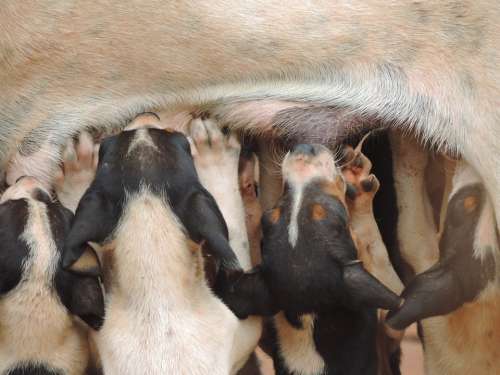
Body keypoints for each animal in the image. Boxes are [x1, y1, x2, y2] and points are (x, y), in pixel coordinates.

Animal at [223, 143, 402, 374]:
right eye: (339, 217)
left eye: (271, 216)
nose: (305, 149)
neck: (310, 318)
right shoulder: (388, 316)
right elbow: (372, 245)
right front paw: (359, 187)